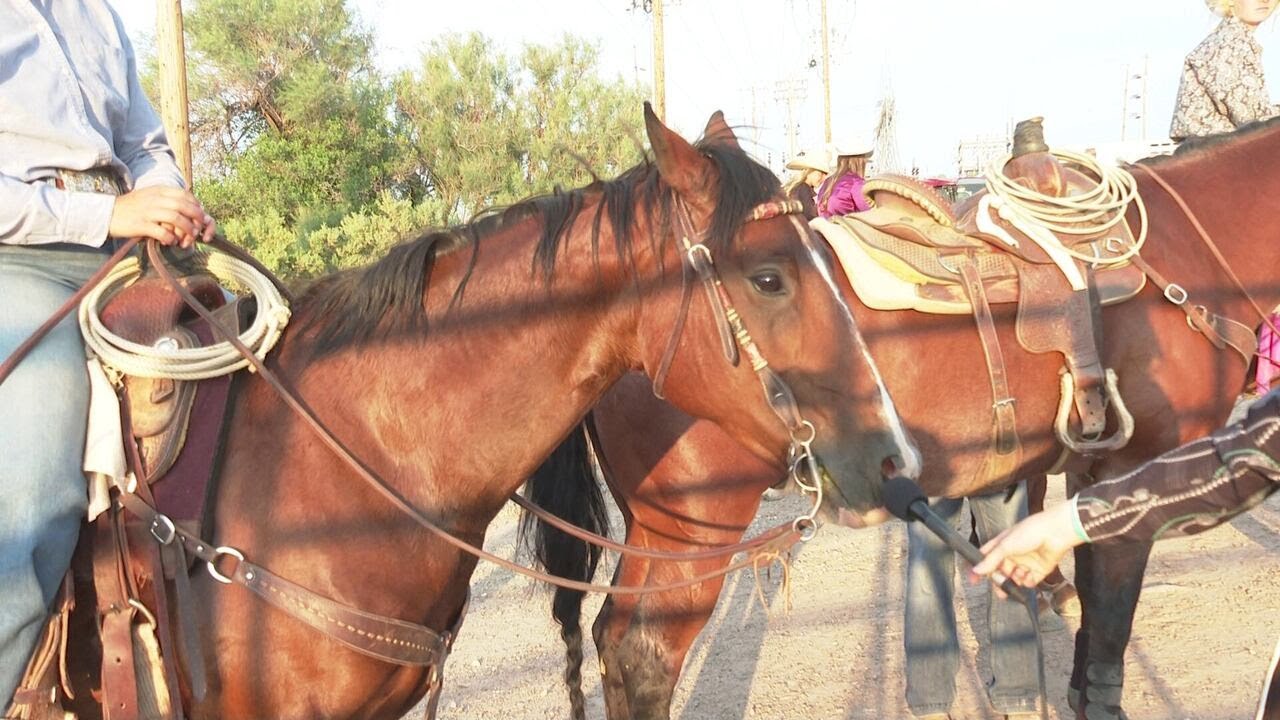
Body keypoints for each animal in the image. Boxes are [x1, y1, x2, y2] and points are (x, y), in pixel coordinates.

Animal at [525, 117, 1280, 719]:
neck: (1182, 253)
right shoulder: (1136, 466)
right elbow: (1110, 629)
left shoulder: (1092, 473)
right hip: (694, 531)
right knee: (644, 653)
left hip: (655, 530)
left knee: (610, 637)